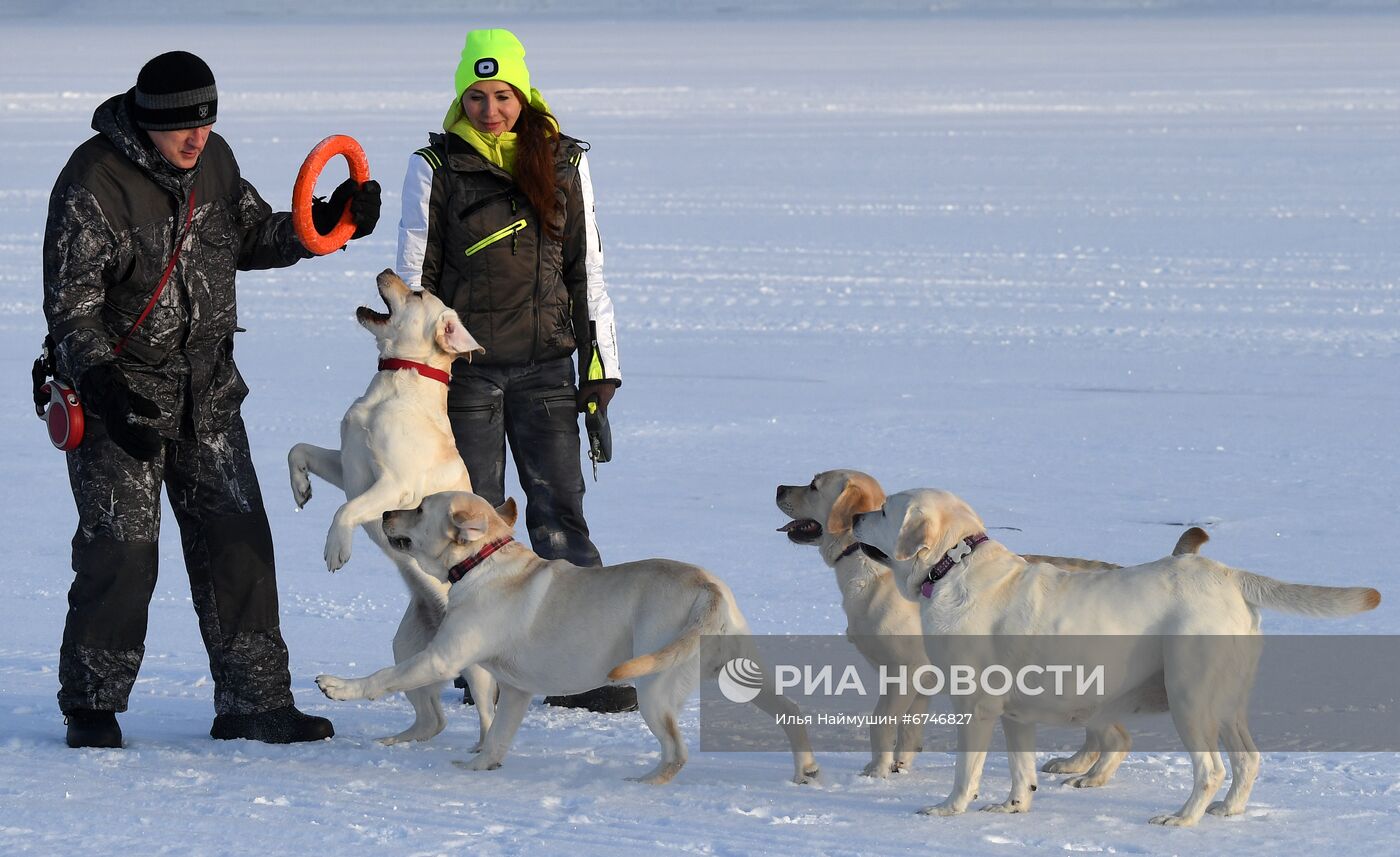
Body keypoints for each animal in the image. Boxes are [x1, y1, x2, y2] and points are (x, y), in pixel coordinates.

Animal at [313, 492, 823, 784]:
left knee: (676, 754)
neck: (482, 561)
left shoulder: (441, 658)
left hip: (654, 689)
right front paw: (479, 768)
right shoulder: (515, 690)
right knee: (792, 711)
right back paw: (805, 770)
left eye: (419, 509)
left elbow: (383, 676)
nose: (385, 512)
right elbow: (497, 735)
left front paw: (338, 687)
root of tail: (707, 588)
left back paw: (641, 784)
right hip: (739, 674)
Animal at [778, 473, 1204, 784]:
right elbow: (910, 732)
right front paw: (901, 766)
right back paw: (1072, 765)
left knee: (1115, 736)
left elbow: (880, 726)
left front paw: (876, 771)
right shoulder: (923, 682)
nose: (779, 487)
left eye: (813, 484)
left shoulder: (905, 673)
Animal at [845, 484, 1383, 828]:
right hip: (1228, 701)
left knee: (1210, 769)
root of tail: (1227, 574)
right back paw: (1228, 811)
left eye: (885, 509)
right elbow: (1021, 770)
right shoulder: (1016, 716)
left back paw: (1180, 819)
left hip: (1190, 698)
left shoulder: (975, 707)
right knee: (1247, 760)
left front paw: (948, 809)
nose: (852, 517)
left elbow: (965, 771)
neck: (953, 565)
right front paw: (1013, 808)